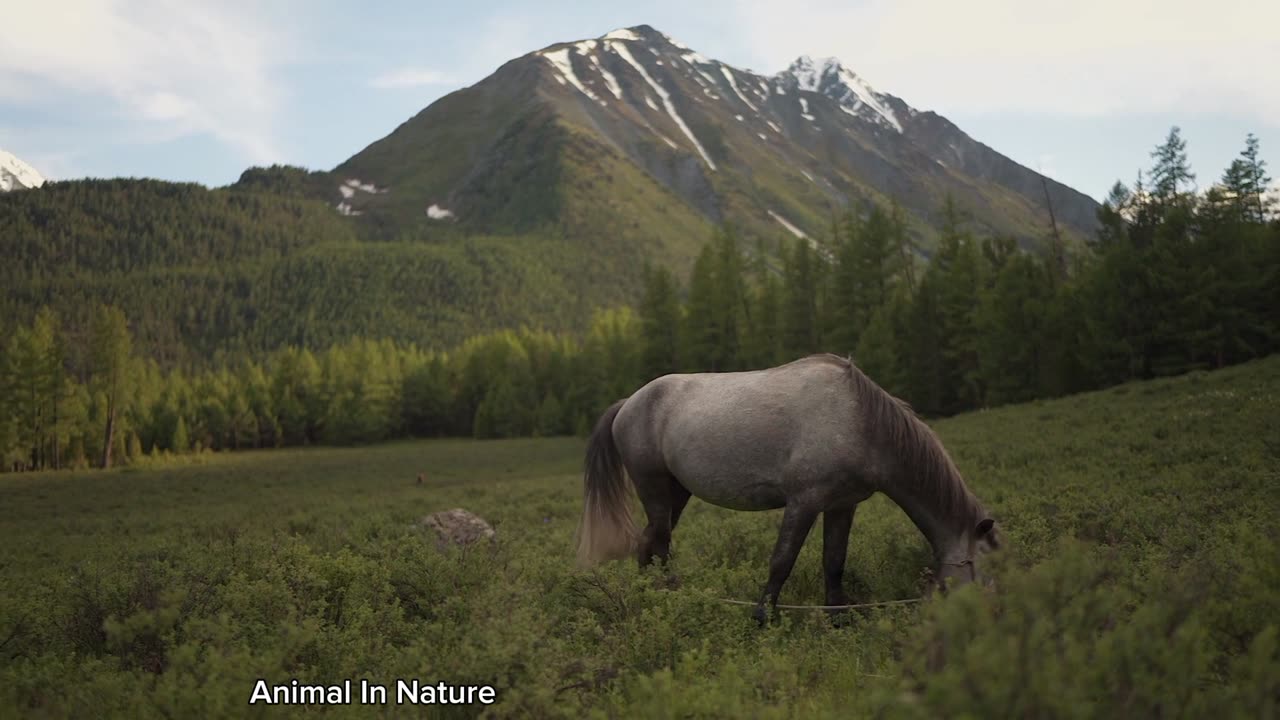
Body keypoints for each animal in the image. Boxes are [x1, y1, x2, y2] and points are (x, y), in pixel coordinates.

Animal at [570, 351, 998, 620]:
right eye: (986, 567)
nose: (992, 615)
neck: (860, 420)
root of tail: (628, 403)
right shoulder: (804, 502)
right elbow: (782, 561)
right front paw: (763, 617)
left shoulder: (841, 505)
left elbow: (834, 562)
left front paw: (839, 618)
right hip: (655, 490)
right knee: (657, 544)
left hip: (677, 493)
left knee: (649, 545)